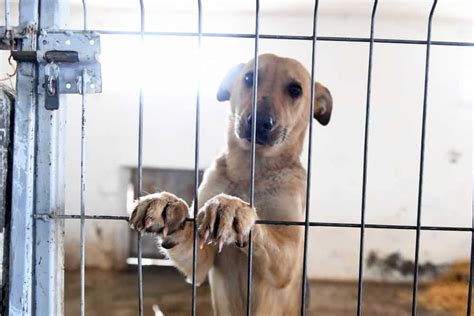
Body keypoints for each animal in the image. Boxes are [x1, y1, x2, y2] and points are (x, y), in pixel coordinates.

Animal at [128, 53, 332, 314]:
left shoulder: (290, 259)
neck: (251, 172)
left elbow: (264, 231)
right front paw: (166, 203)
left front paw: (234, 208)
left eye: (295, 89)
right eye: (249, 78)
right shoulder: (199, 264)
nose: (260, 121)